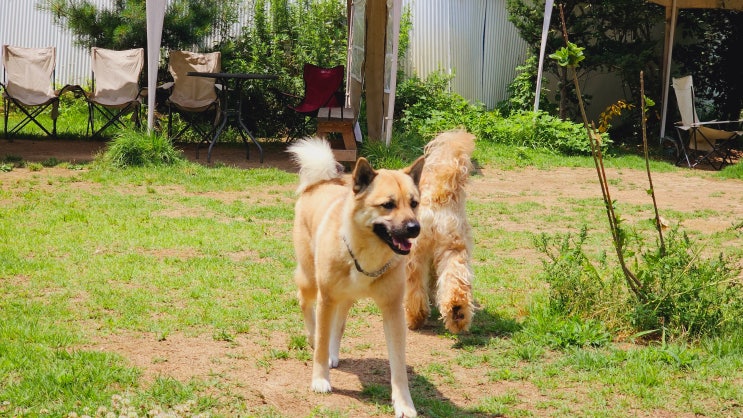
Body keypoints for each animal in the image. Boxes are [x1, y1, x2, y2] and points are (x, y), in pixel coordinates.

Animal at [288, 139, 424, 416]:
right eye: (388, 204)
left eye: (414, 203)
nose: (415, 228)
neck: (367, 255)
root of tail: (319, 183)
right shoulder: (326, 299)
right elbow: (321, 342)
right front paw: (320, 379)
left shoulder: (393, 310)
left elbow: (398, 365)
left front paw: (404, 403)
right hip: (311, 281)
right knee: (305, 304)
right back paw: (312, 336)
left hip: (345, 298)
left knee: (337, 326)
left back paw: (333, 352)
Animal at [406, 131, 476, 334]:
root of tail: (438, 195)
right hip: (453, 247)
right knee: (456, 283)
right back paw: (457, 312)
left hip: (415, 256)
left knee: (415, 289)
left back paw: (415, 318)